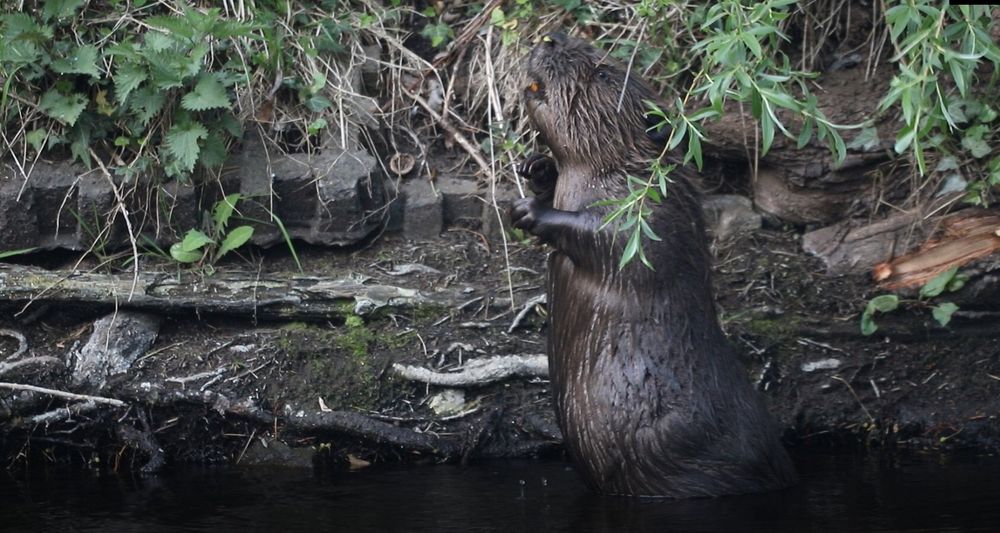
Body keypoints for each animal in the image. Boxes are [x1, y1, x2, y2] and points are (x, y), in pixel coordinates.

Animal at [508, 34, 796, 498]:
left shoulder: (654, 209)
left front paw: (529, 210)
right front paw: (537, 168)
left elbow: (614, 240)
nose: (551, 38)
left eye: (603, 73)